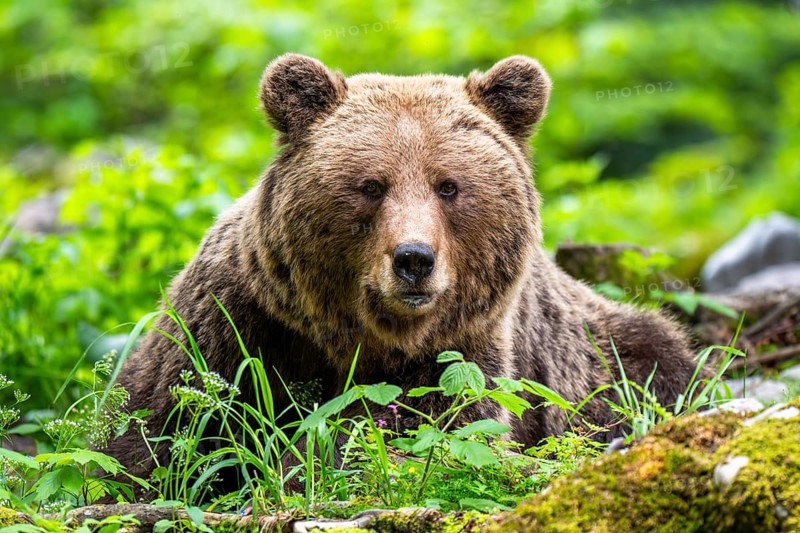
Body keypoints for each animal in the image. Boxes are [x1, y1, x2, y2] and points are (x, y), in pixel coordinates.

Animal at [105, 54, 697, 481]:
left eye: (449, 186)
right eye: (371, 185)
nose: (414, 259)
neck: (361, 335)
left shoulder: (459, 349)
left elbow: (432, 425)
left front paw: (310, 455)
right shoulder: (237, 322)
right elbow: (157, 427)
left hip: (601, 354)